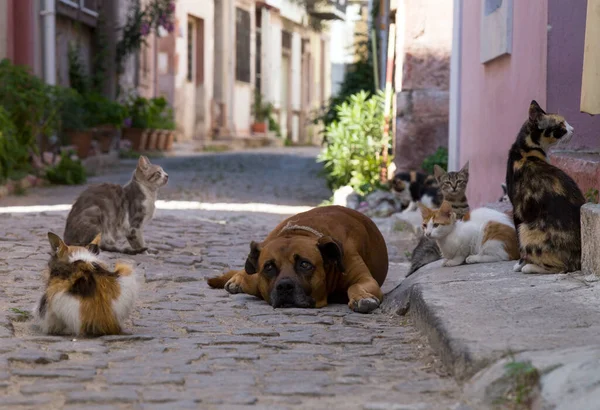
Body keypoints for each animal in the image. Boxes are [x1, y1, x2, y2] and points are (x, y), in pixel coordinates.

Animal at [207, 205, 390, 314]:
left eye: (305, 264)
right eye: (269, 267)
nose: (284, 286)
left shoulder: (365, 279)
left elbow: (355, 286)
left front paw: (361, 297)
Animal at [504, 99, 584, 274]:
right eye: (561, 126)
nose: (573, 129)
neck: (526, 151)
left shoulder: (518, 209)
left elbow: (520, 246)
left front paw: (520, 264)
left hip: (527, 229)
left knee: (562, 268)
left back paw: (529, 267)